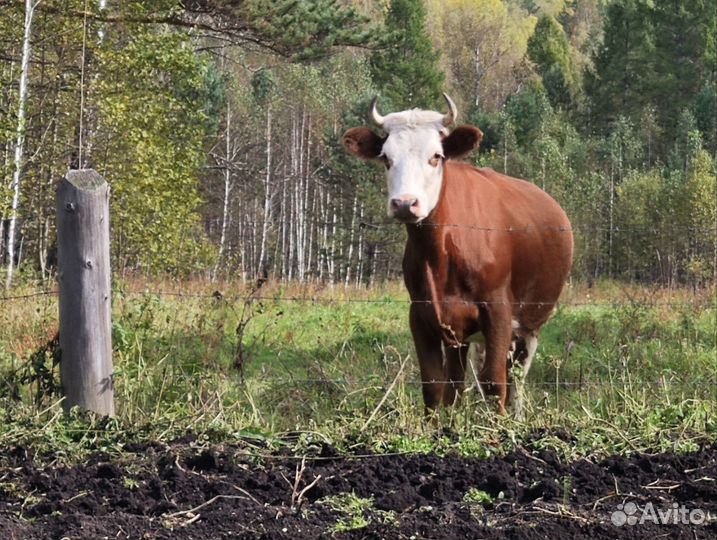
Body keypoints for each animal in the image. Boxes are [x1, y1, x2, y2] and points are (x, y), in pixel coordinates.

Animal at [342, 94, 573, 415]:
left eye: (436, 156)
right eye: (386, 158)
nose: (405, 204)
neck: (439, 253)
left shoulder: (498, 310)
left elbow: (494, 383)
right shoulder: (422, 314)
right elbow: (435, 386)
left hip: (530, 323)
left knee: (516, 377)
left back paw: (515, 416)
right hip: (463, 333)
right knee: (460, 381)